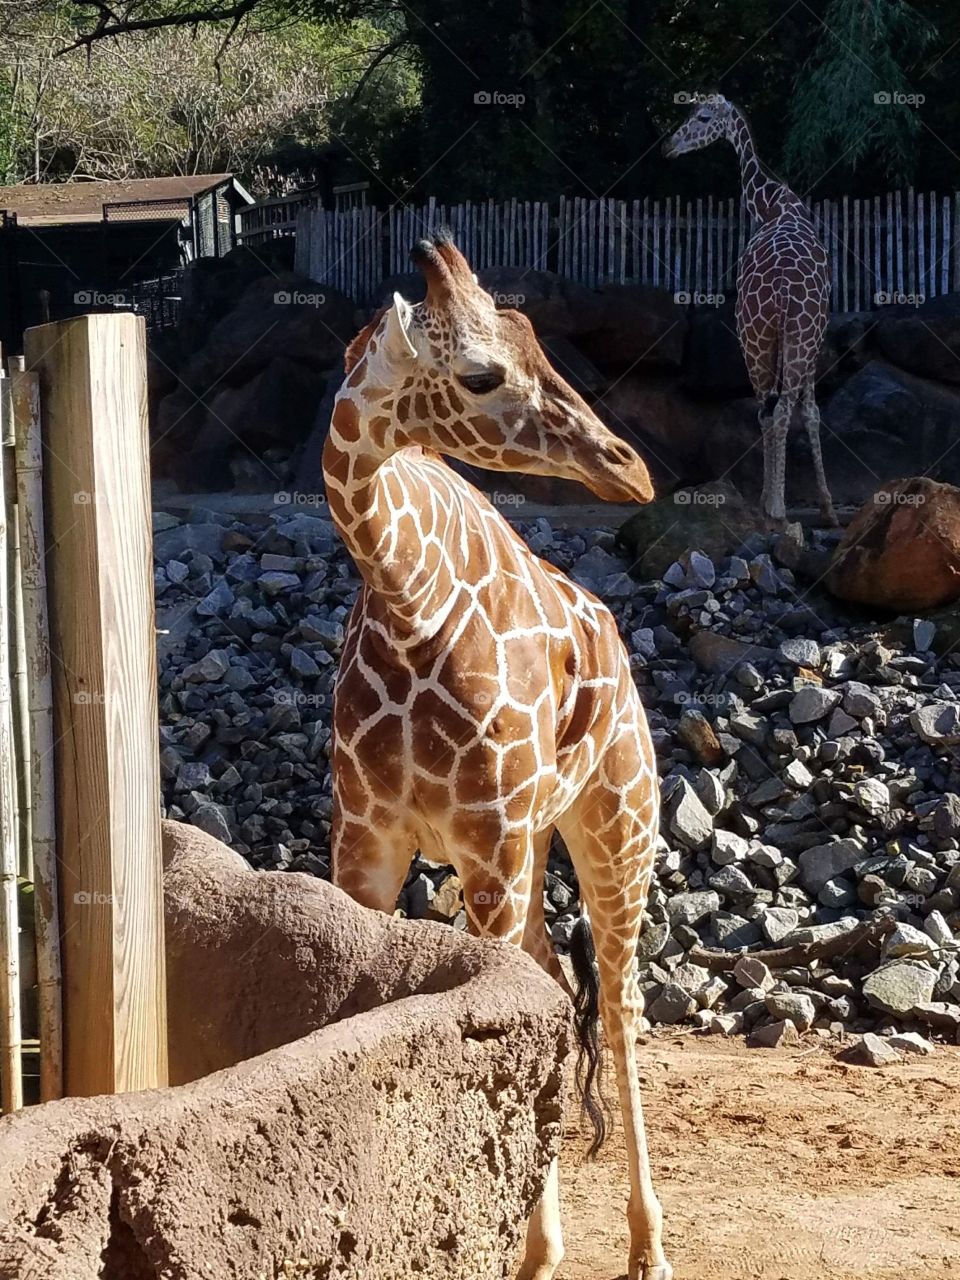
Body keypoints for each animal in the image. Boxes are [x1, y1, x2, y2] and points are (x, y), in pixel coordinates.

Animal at [323, 232, 672, 1280]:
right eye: (482, 374)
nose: (631, 468)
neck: (408, 597)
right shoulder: (366, 842)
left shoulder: (490, 838)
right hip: (533, 850)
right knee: (556, 984)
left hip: (614, 823)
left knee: (617, 1003)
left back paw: (647, 1246)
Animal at [664, 94, 838, 526]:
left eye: (702, 117)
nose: (669, 146)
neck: (772, 204)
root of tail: (784, 289)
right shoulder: (812, 333)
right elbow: (809, 410)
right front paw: (825, 507)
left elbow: (802, 410)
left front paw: (820, 506)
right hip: (780, 335)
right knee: (776, 409)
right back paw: (776, 506)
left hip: (764, 335)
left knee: (769, 409)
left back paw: (773, 504)